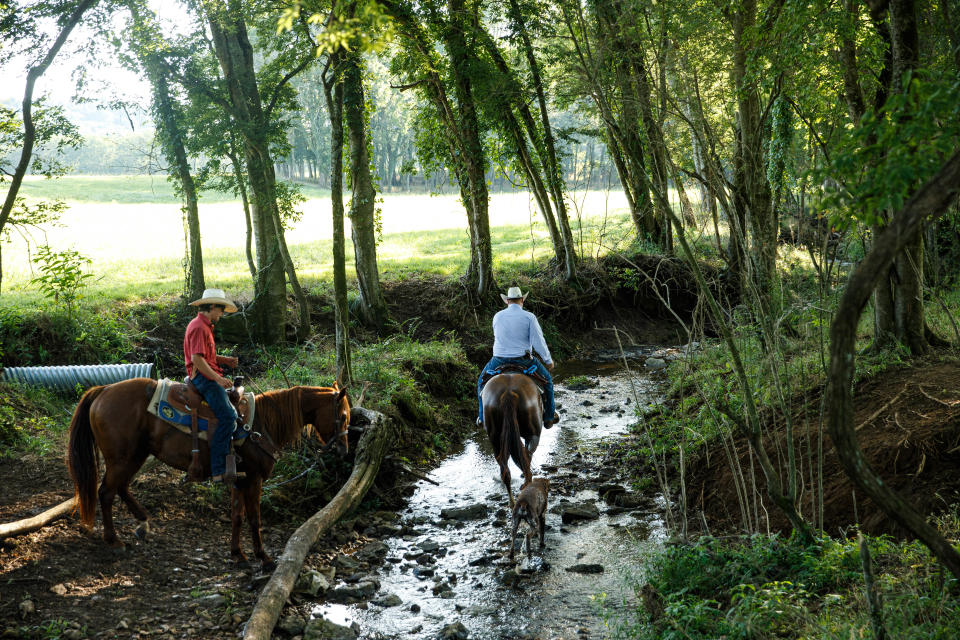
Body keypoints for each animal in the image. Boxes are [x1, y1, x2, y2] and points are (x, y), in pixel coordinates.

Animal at [68, 376, 352, 568]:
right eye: (344, 416)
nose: (343, 449)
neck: (261, 425)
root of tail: (103, 391)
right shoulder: (254, 480)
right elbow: (254, 518)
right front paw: (264, 557)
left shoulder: (238, 480)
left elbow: (237, 517)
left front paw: (238, 554)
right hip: (122, 457)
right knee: (106, 492)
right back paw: (113, 540)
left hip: (135, 455)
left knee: (121, 487)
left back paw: (142, 522)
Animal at [478, 376, 544, 504]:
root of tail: (508, 394)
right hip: (533, 435)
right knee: (526, 459)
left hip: (495, 438)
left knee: (505, 465)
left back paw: (512, 501)